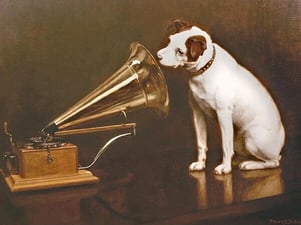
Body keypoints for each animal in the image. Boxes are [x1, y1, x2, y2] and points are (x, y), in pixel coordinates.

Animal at [156, 19, 284, 174]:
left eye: (180, 51)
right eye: (170, 40)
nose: (158, 56)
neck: (204, 70)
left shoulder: (223, 114)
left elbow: (225, 146)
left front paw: (225, 167)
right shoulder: (197, 113)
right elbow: (201, 143)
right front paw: (200, 164)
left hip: (252, 137)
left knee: (273, 162)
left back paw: (249, 164)